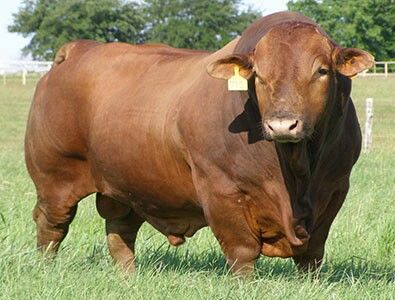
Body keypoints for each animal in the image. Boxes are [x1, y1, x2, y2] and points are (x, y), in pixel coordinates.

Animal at [24, 11, 374, 274]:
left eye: (322, 71)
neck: (297, 169)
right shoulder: (220, 189)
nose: (282, 124)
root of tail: (77, 49)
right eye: (258, 75)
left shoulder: (334, 189)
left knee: (120, 231)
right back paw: (45, 268)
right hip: (54, 178)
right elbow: (242, 250)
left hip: (127, 184)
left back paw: (128, 276)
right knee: (51, 225)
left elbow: (312, 253)